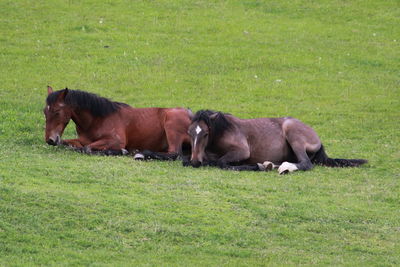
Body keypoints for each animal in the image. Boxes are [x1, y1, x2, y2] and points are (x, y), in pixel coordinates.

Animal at [43, 86, 191, 159]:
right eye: (45, 111)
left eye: (57, 111)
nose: (50, 140)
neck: (98, 119)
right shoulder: (82, 140)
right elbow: (68, 144)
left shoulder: (115, 141)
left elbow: (87, 148)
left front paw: (121, 151)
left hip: (171, 125)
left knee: (174, 153)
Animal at [183, 110, 368, 175]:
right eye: (190, 132)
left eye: (206, 133)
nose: (195, 162)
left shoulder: (242, 151)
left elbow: (222, 162)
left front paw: (255, 167)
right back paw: (270, 164)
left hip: (293, 134)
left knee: (306, 163)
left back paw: (283, 168)